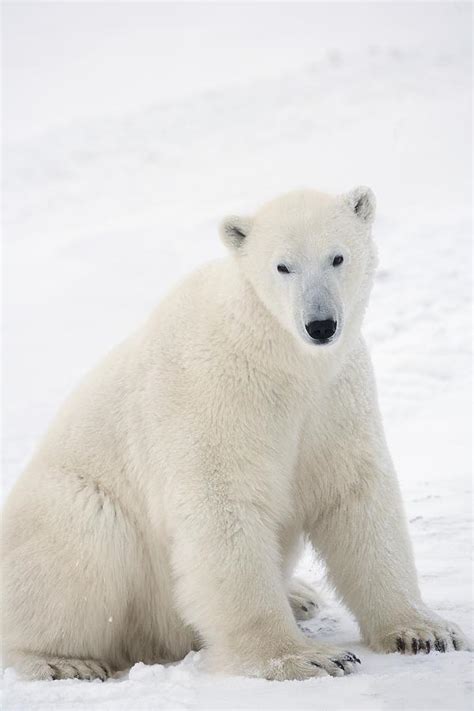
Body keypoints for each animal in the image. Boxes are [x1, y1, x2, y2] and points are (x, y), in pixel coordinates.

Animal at [0, 186, 466, 680]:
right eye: (282, 266)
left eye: (337, 256)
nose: (320, 325)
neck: (282, 356)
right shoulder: (216, 396)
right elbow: (224, 506)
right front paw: (305, 657)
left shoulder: (334, 399)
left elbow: (355, 495)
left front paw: (425, 631)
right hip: (69, 510)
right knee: (82, 542)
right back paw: (62, 661)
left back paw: (300, 595)